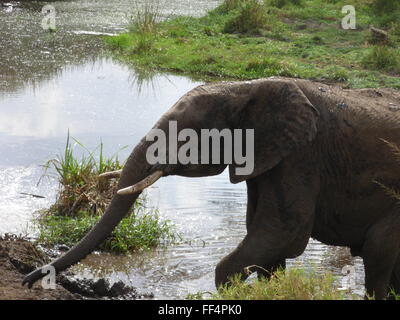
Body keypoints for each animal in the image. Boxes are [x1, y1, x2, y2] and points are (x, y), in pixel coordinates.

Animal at [22, 77, 400, 300]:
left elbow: (283, 233)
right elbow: (268, 243)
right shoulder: (269, 158)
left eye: (185, 136)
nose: (29, 279)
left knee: (378, 254)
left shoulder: (301, 157)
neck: (246, 89)